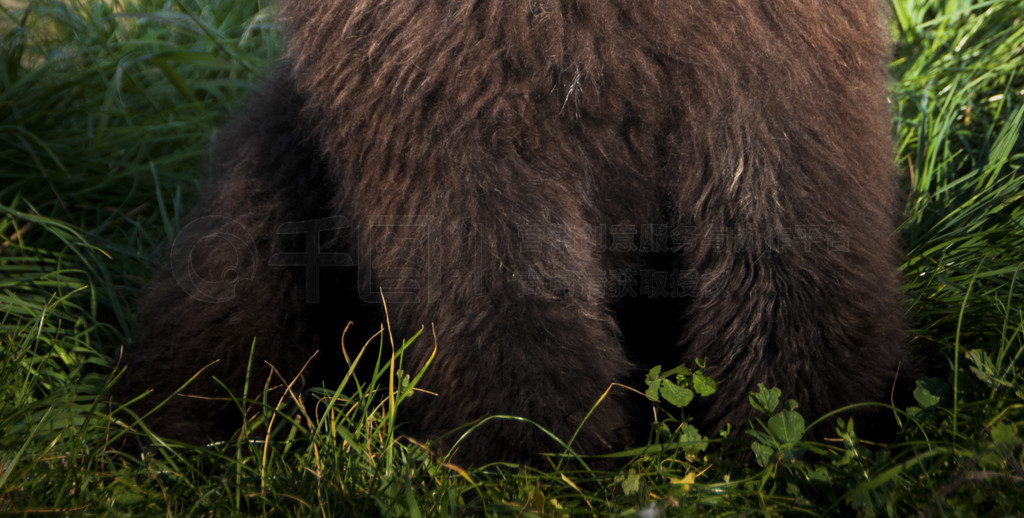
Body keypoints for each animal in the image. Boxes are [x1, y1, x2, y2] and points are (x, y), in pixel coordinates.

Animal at [119, 0, 913, 466]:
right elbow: (501, 279)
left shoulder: (767, 71)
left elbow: (785, 235)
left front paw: (805, 418)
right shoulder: (448, 98)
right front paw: (536, 445)